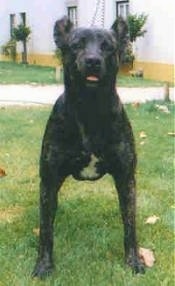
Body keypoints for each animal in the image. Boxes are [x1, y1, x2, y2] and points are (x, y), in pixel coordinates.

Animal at [32, 15, 144, 278]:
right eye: (76, 45)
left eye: (108, 47)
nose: (93, 60)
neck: (89, 107)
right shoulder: (49, 180)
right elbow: (46, 229)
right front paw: (44, 265)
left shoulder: (126, 179)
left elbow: (130, 226)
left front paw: (133, 261)